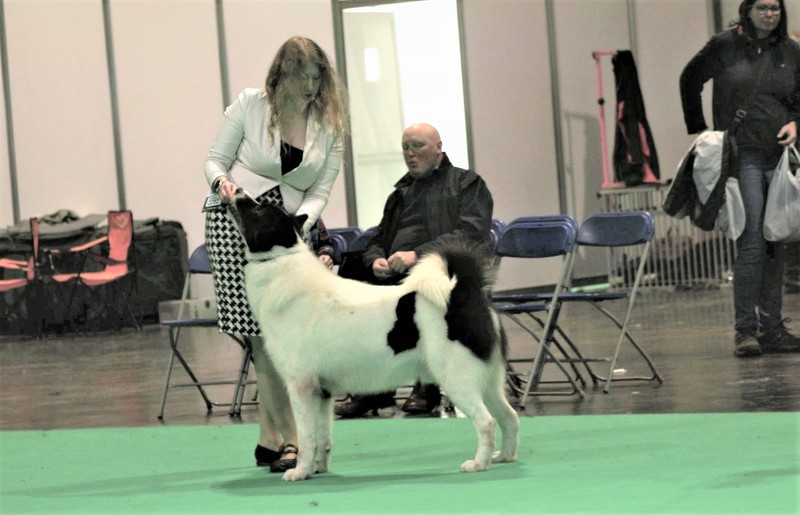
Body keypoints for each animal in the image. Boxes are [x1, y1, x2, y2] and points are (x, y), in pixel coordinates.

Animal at [230, 190, 519, 481]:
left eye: (260, 210)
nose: (237, 192)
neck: (280, 259)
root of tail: (463, 291)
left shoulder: (301, 388)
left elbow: (307, 438)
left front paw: (300, 471)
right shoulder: (322, 393)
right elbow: (323, 437)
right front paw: (318, 468)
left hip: (458, 379)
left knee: (486, 421)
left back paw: (479, 463)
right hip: (488, 380)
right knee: (509, 416)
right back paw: (504, 456)